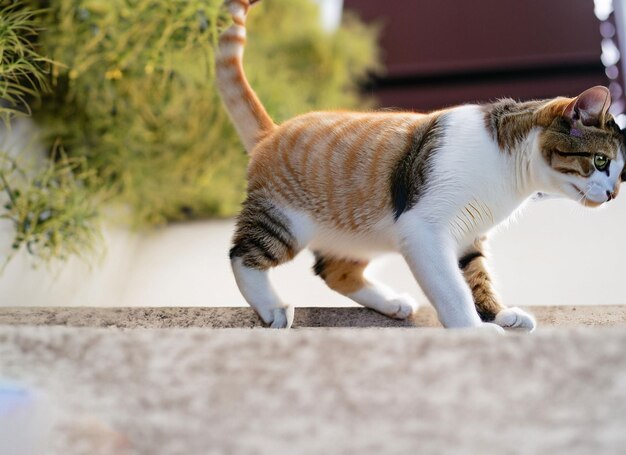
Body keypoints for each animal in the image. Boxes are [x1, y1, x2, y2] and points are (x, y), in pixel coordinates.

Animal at [213, 0, 620, 330]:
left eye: (620, 173)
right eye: (601, 161)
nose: (613, 194)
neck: (508, 169)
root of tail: (273, 130)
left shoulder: (467, 236)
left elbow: (477, 277)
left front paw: (500, 315)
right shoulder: (424, 230)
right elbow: (452, 288)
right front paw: (474, 329)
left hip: (362, 235)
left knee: (334, 271)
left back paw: (392, 303)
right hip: (285, 221)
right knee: (241, 255)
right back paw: (272, 308)